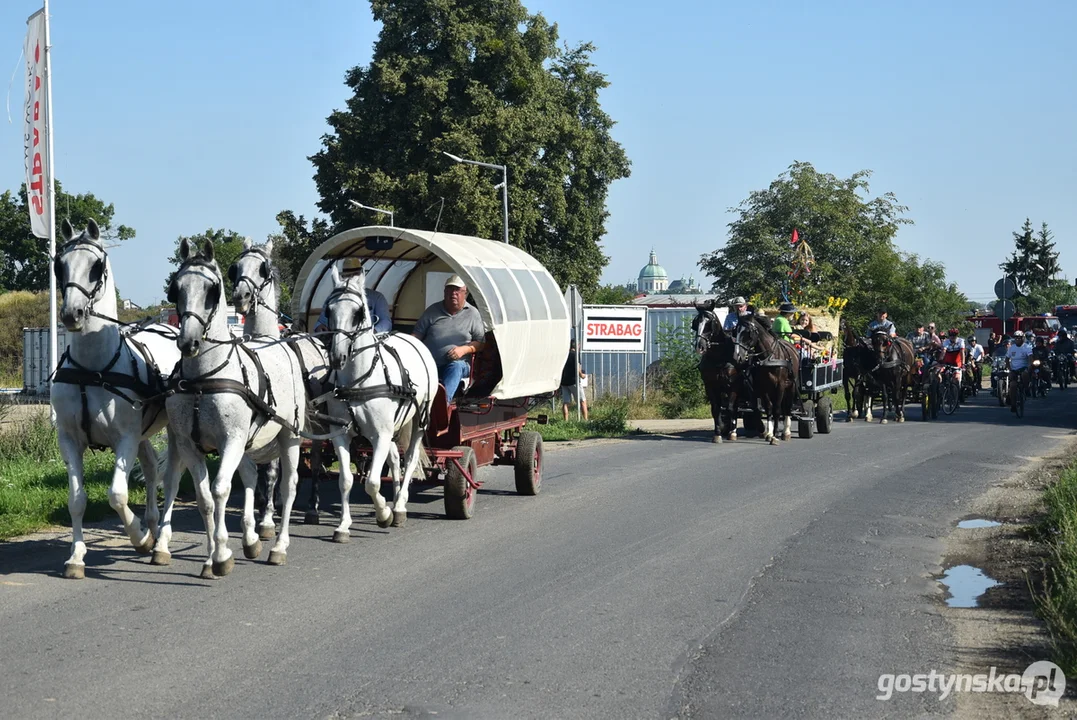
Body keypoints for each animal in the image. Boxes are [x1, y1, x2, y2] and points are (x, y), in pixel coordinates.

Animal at [51, 217, 182, 576]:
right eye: (59, 264)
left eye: (96, 266)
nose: (72, 314)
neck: (91, 370)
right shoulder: (69, 440)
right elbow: (76, 500)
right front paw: (76, 556)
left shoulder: (124, 438)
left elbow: (117, 495)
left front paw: (139, 535)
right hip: (143, 433)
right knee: (151, 469)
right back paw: (152, 524)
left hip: (172, 431)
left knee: (171, 478)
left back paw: (159, 540)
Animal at [161, 238, 310, 576]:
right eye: (177, 288)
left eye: (211, 289)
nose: (188, 343)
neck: (204, 378)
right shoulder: (190, 445)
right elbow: (205, 498)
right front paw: (212, 556)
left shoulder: (232, 440)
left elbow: (220, 490)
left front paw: (221, 554)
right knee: (254, 478)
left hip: (290, 436)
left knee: (289, 486)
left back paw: (279, 546)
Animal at [323, 266, 437, 535]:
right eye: (328, 310)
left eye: (359, 313)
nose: (337, 356)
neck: (359, 381)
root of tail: (414, 339)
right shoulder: (340, 434)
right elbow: (346, 480)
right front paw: (343, 525)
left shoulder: (380, 435)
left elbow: (372, 482)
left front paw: (384, 513)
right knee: (395, 459)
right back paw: (395, 501)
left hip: (419, 420)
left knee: (410, 458)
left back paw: (400, 506)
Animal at [693, 301, 745, 441]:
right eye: (696, 322)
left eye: (710, 322)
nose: (700, 347)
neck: (719, 357)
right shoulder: (710, 385)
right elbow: (716, 409)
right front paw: (717, 434)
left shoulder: (734, 385)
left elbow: (732, 408)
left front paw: (732, 433)